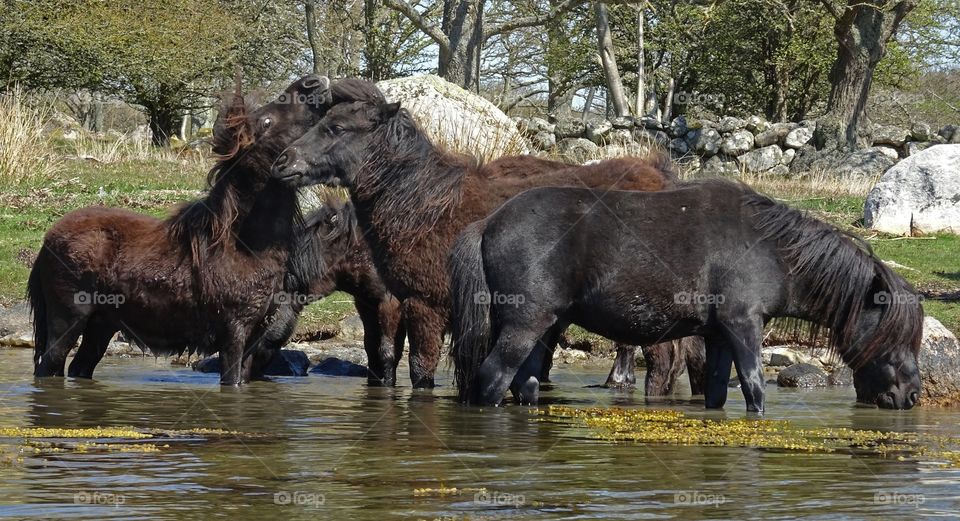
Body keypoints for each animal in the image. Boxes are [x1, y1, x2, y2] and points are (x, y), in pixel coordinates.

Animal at [27, 74, 344, 382]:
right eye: (266, 122)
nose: (314, 82)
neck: (248, 244)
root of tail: (45, 242)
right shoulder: (234, 332)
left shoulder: (254, 338)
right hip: (67, 319)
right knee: (48, 367)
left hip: (101, 324)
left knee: (79, 368)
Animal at [274, 90, 692, 390]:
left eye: (338, 128)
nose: (283, 161)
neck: (425, 206)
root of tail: (663, 177)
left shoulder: (424, 305)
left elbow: (419, 372)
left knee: (660, 364)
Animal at [454, 179, 928, 410]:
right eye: (897, 338)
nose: (911, 396)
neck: (770, 247)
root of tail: (489, 222)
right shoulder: (743, 326)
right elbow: (754, 389)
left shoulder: (718, 336)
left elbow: (716, 393)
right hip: (524, 325)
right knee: (493, 380)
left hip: (546, 327)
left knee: (526, 385)